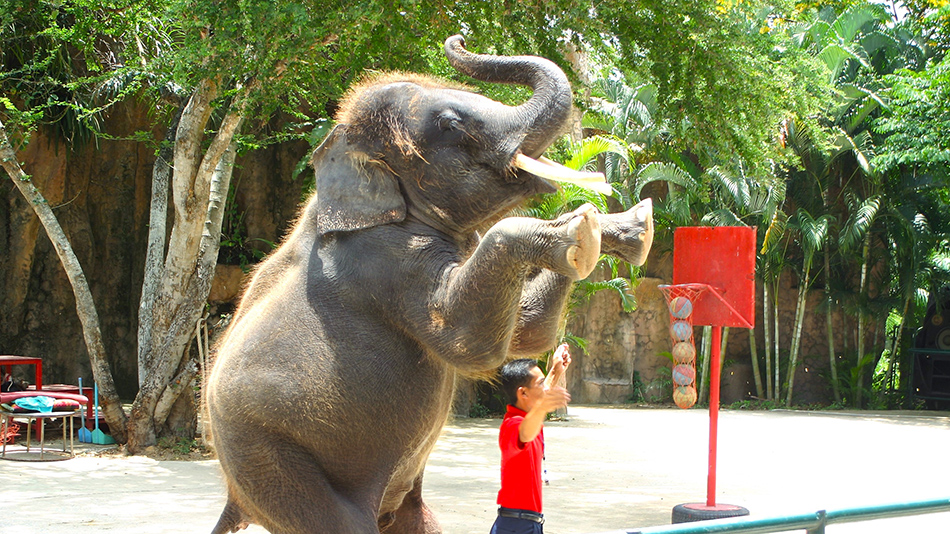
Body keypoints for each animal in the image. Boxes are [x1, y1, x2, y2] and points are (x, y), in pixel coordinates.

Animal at [207, 34, 656, 534]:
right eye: (449, 123)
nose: (458, 38)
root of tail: (231, 492)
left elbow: (525, 331)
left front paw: (633, 226)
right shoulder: (382, 262)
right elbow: (469, 342)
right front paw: (584, 230)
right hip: (272, 459)